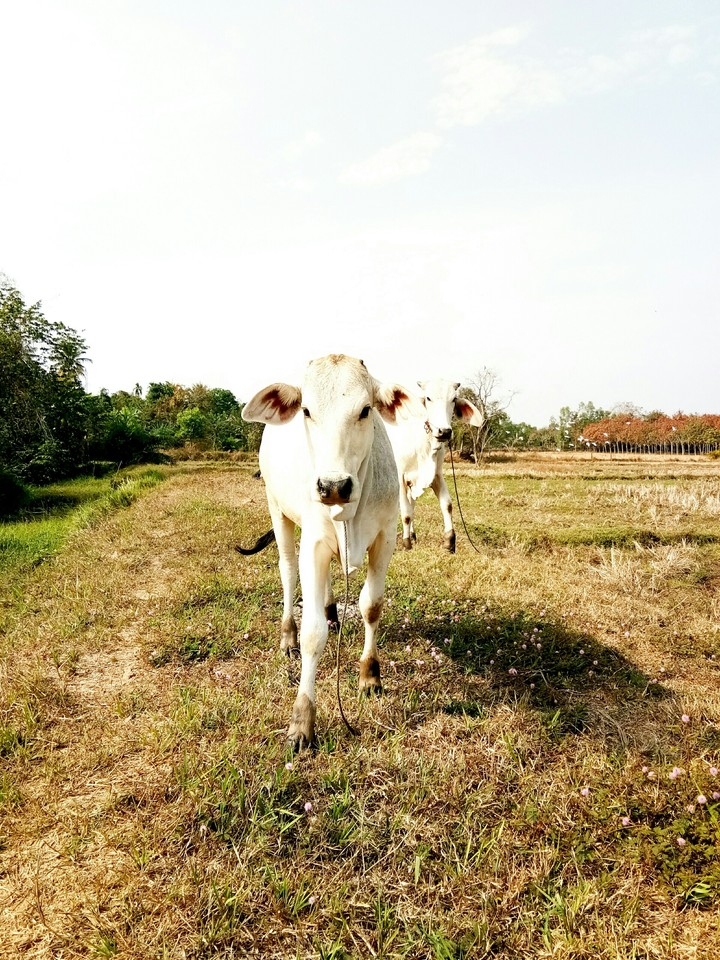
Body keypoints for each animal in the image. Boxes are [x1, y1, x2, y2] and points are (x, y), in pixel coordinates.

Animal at [240, 354, 423, 750]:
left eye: (366, 409)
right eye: (307, 411)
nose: (333, 485)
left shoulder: (385, 537)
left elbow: (371, 607)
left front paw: (370, 676)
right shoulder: (313, 542)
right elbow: (313, 635)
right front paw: (302, 721)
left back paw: (331, 612)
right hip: (277, 510)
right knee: (288, 571)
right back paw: (288, 637)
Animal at [385, 379, 484, 553]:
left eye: (453, 399)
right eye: (428, 398)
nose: (444, 431)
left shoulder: (436, 475)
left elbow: (447, 504)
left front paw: (449, 541)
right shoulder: (401, 477)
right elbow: (406, 513)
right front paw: (406, 543)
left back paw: (413, 534)